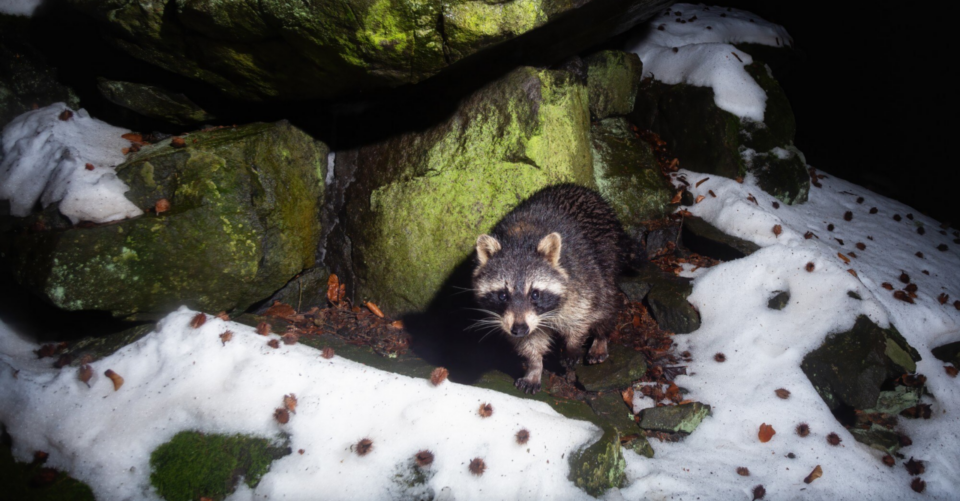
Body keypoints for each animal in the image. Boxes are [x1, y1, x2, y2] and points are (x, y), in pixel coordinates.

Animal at [470, 184, 632, 394]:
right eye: (502, 295)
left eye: (535, 294)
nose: (519, 328)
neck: (519, 242)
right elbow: (530, 341)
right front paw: (534, 367)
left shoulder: (579, 278)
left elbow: (581, 315)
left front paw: (574, 343)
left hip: (607, 255)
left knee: (606, 300)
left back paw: (601, 335)